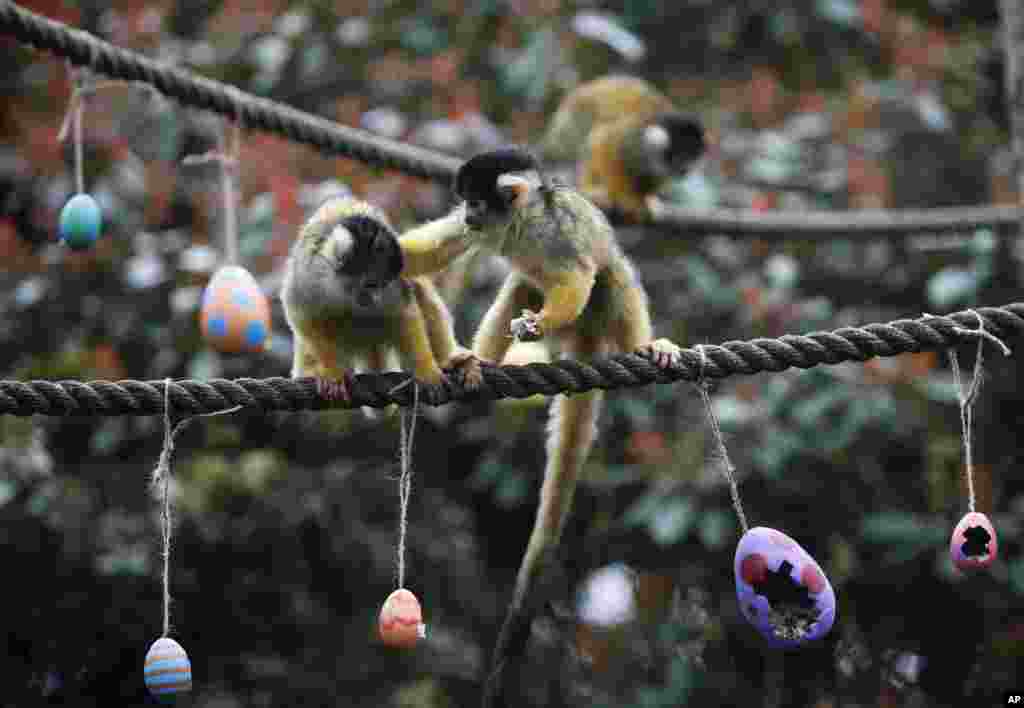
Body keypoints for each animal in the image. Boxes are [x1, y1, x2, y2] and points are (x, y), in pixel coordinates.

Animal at [280, 196, 464, 403]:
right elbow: (300, 315)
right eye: (371, 285)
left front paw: (426, 371)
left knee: (415, 286)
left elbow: (403, 312)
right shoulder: (307, 276)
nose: (376, 298)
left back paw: (447, 361)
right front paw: (333, 371)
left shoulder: (394, 280)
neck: (337, 286)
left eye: (384, 284)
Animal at [395, 148, 684, 704]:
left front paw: (538, 325)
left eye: (477, 201)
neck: (520, 223)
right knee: (519, 284)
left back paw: (643, 347)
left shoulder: (557, 230)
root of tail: (586, 342)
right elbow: (429, 252)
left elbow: (577, 275)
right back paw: (474, 365)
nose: (469, 216)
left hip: (595, 316)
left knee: (609, 273)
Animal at [540, 75, 708, 220]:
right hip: (571, 126)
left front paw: (645, 198)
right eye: (680, 157)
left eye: (692, 158)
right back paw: (591, 189)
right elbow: (605, 142)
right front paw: (625, 198)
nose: (685, 169)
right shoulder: (633, 140)